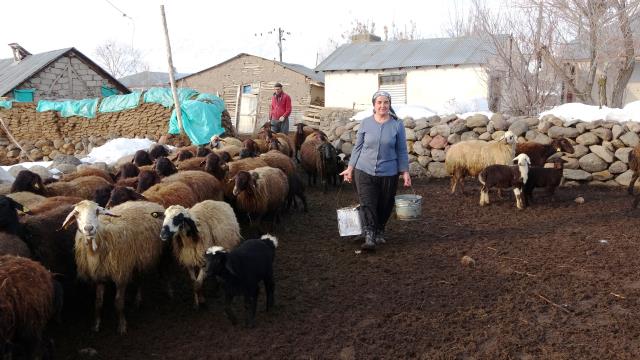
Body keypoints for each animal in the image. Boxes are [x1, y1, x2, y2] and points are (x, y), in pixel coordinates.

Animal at [61, 200, 166, 334]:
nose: (88, 228)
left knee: (145, 278)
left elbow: (118, 303)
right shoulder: (99, 276)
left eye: (97, 211)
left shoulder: (121, 274)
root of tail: (151, 203)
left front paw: (122, 325)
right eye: (76, 213)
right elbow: (98, 303)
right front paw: (96, 325)